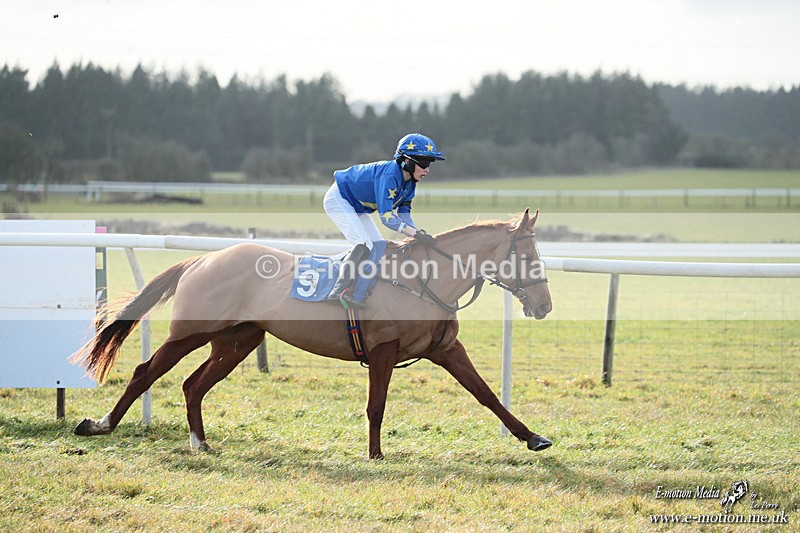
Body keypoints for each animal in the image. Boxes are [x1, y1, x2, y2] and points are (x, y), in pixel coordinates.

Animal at [72, 208, 553, 458]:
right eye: (528, 256)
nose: (545, 306)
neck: (424, 280)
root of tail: (200, 260)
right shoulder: (384, 349)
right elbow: (376, 405)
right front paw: (375, 455)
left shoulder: (447, 349)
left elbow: (487, 395)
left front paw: (533, 437)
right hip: (191, 331)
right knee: (145, 372)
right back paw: (99, 424)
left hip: (238, 340)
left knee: (194, 384)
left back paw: (201, 442)